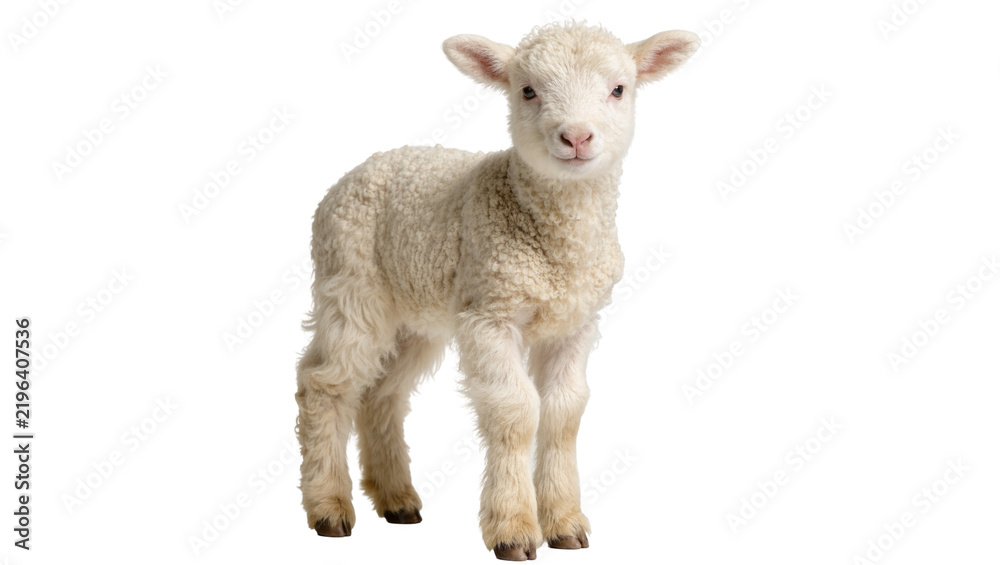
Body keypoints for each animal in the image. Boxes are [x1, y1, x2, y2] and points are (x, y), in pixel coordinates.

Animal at [295, 21, 699, 561]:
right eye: (527, 90)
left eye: (619, 89)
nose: (575, 137)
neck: (557, 245)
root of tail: (364, 167)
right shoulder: (491, 313)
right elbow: (517, 411)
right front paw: (513, 528)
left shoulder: (575, 323)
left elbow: (565, 411)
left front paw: (565, 524)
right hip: (350, 284)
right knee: (325, 385)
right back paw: (329, 507)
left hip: (418, 313)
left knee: (383, 394)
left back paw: (398, 500)